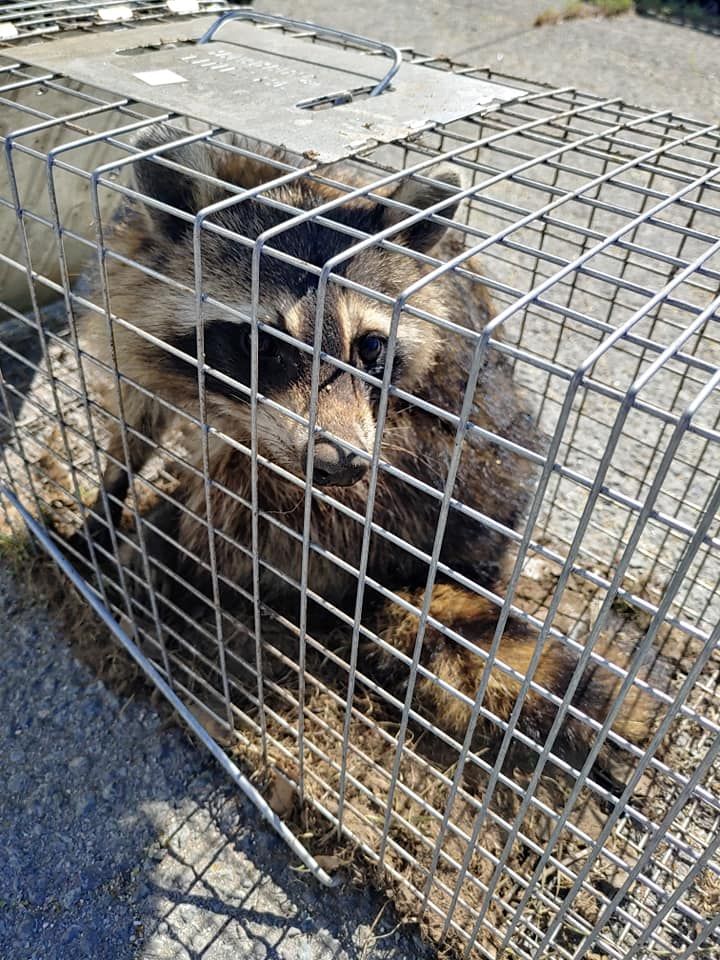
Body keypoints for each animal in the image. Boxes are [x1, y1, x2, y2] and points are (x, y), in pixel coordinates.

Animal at [78, 125, 663, 773]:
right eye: (261, 343)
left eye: (370, 346)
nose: (343, 461)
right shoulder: (133, 298)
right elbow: (139, 412)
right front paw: (112, 490)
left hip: (426, 504)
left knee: (256, 499)